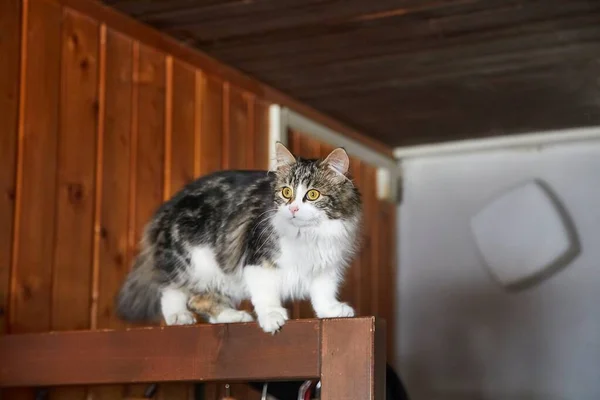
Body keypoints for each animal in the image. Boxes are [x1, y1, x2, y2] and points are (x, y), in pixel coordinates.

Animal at [115, 142, 364, 332]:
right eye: (287, 192)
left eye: (312, 195)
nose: (293, 209)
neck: (307, 235)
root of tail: (167, 206)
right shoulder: (257, 260)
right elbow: (266, 294)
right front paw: (271, 317)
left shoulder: (326, 266)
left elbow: (323, 293)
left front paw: (331, 310)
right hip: (191, 260)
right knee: (172, 289)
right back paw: (178, 316)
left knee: (201, 300)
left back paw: (232, 316)